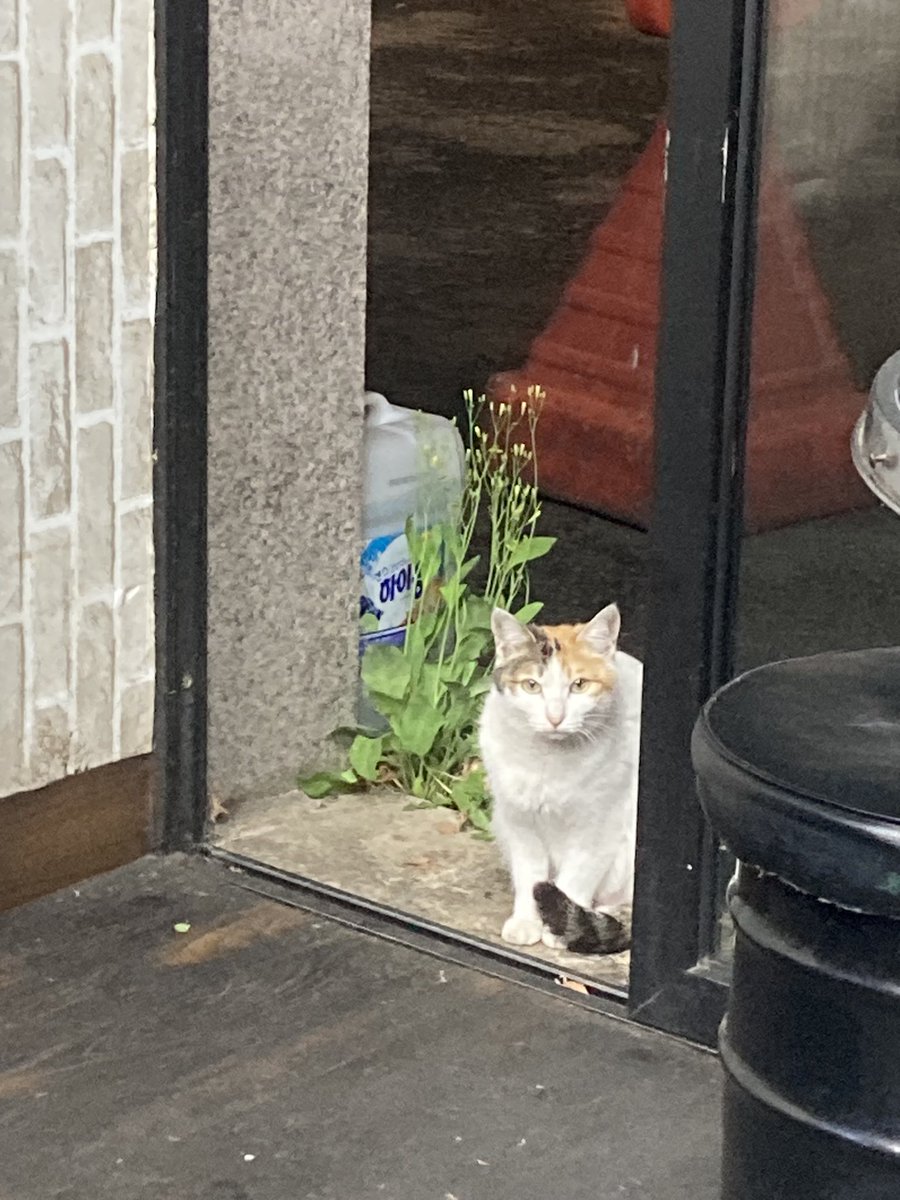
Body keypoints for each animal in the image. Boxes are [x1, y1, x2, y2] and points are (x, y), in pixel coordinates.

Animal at [480, 604, 643, 950]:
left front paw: (558, 930)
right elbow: (529, 875)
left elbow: (577, 876)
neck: (548, 763)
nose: (555, 717)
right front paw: (527, 922)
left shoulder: (599, 828)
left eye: (579, 684)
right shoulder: (519, 822)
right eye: (532, 686)